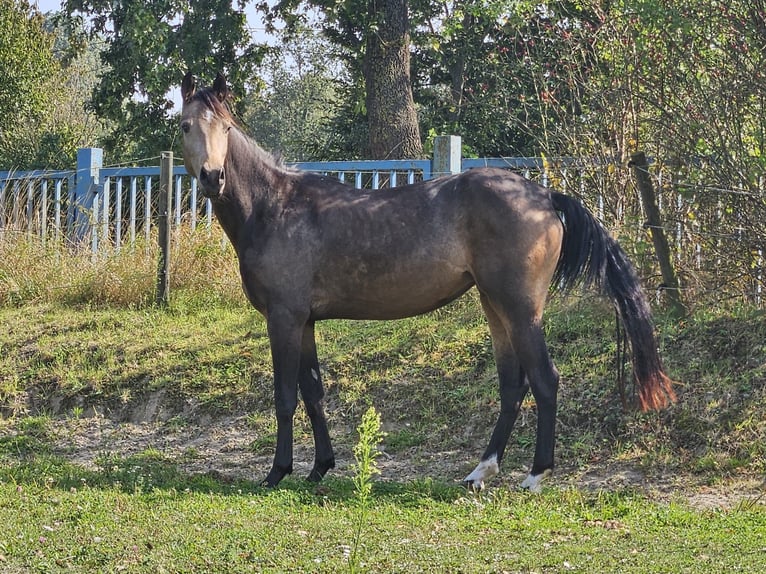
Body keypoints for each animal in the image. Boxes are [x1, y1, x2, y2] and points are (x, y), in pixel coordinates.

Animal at [180, 72, 680, 492]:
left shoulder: (283, 319)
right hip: (494, 307)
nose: (213, 176)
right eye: (185, 126)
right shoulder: (303, 322)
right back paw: (480, 472)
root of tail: (543, 195)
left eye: (226, 128)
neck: (275, 207)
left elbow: (285, 397)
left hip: (521, 310)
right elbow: (314, 393)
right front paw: (319, 467)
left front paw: (277, 472)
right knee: (512, 385)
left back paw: (535, 475)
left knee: (545, 380)